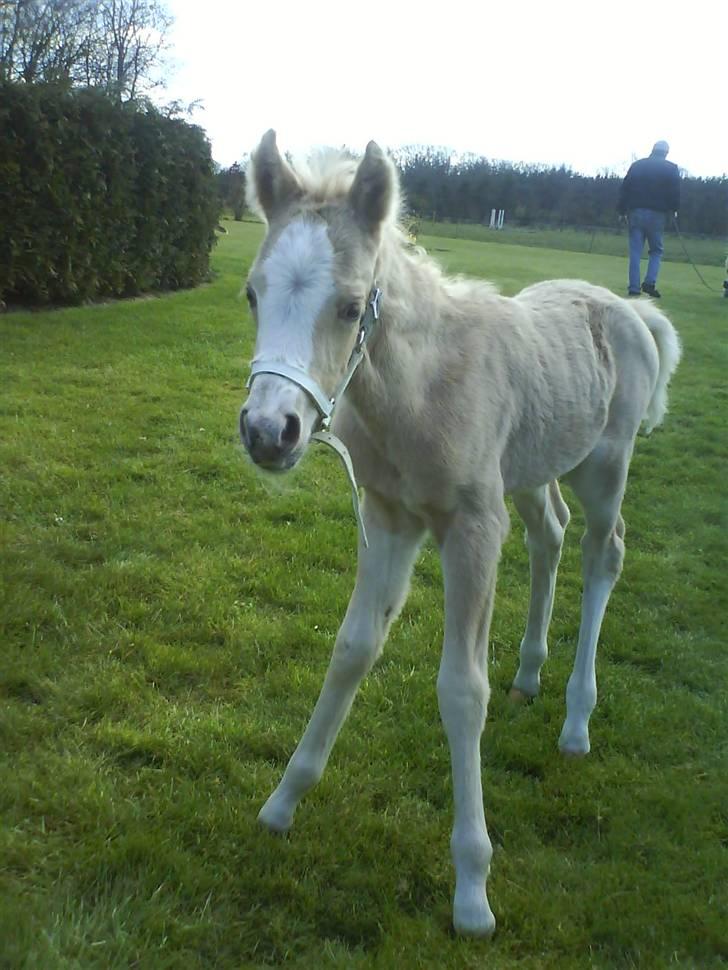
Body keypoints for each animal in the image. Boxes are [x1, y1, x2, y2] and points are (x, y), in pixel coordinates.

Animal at [240, 132, 684, 932]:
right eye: (252, 294)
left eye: (350, 307)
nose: (269, 432)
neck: (418, 391)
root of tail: (629, 308)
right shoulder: (388, 518)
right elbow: (352, 650)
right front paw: (283, 801)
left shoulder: (473, 527)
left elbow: (460, 690)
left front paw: (473, 888)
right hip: (533, 469)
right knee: (549, 535)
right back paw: (531, 675)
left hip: (605, 465)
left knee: (603, 553)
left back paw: (576, 722)